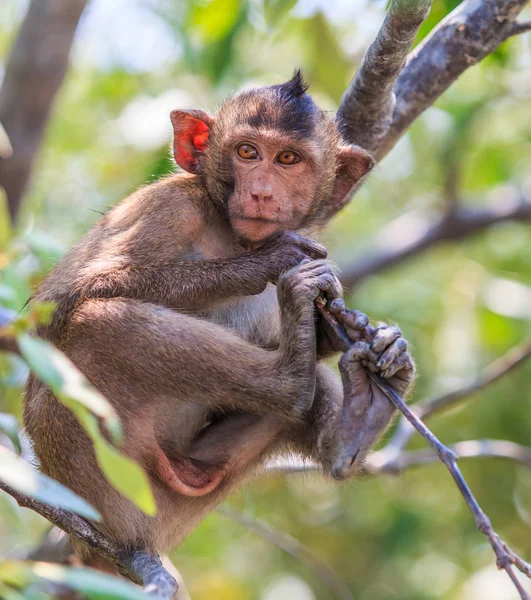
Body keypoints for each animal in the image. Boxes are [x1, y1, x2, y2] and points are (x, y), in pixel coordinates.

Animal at [23, 72, 416, 560]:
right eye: (247, 152)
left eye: (288, 159)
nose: (262, 192)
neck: (231, 234)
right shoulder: (170, 208)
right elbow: (62, 305)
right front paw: (264, 263)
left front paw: (359, 332)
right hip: (102, 471)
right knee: (92, 325)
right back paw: (290, 380)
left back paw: (357, 421)